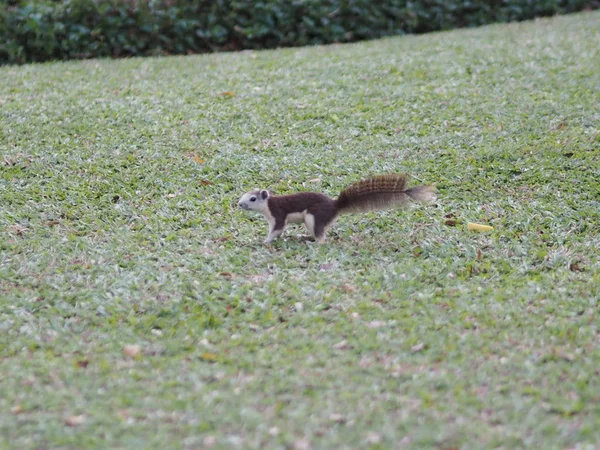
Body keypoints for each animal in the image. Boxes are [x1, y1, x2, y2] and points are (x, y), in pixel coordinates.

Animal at [239, 173, 436, 244]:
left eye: (253, 198)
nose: (239, 204)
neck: (267, 206)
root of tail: (334, 205)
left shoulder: (278, 214)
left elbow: (277, 229)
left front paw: (265, 241)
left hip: (313, 217)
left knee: (321, 236)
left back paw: (314, 243)